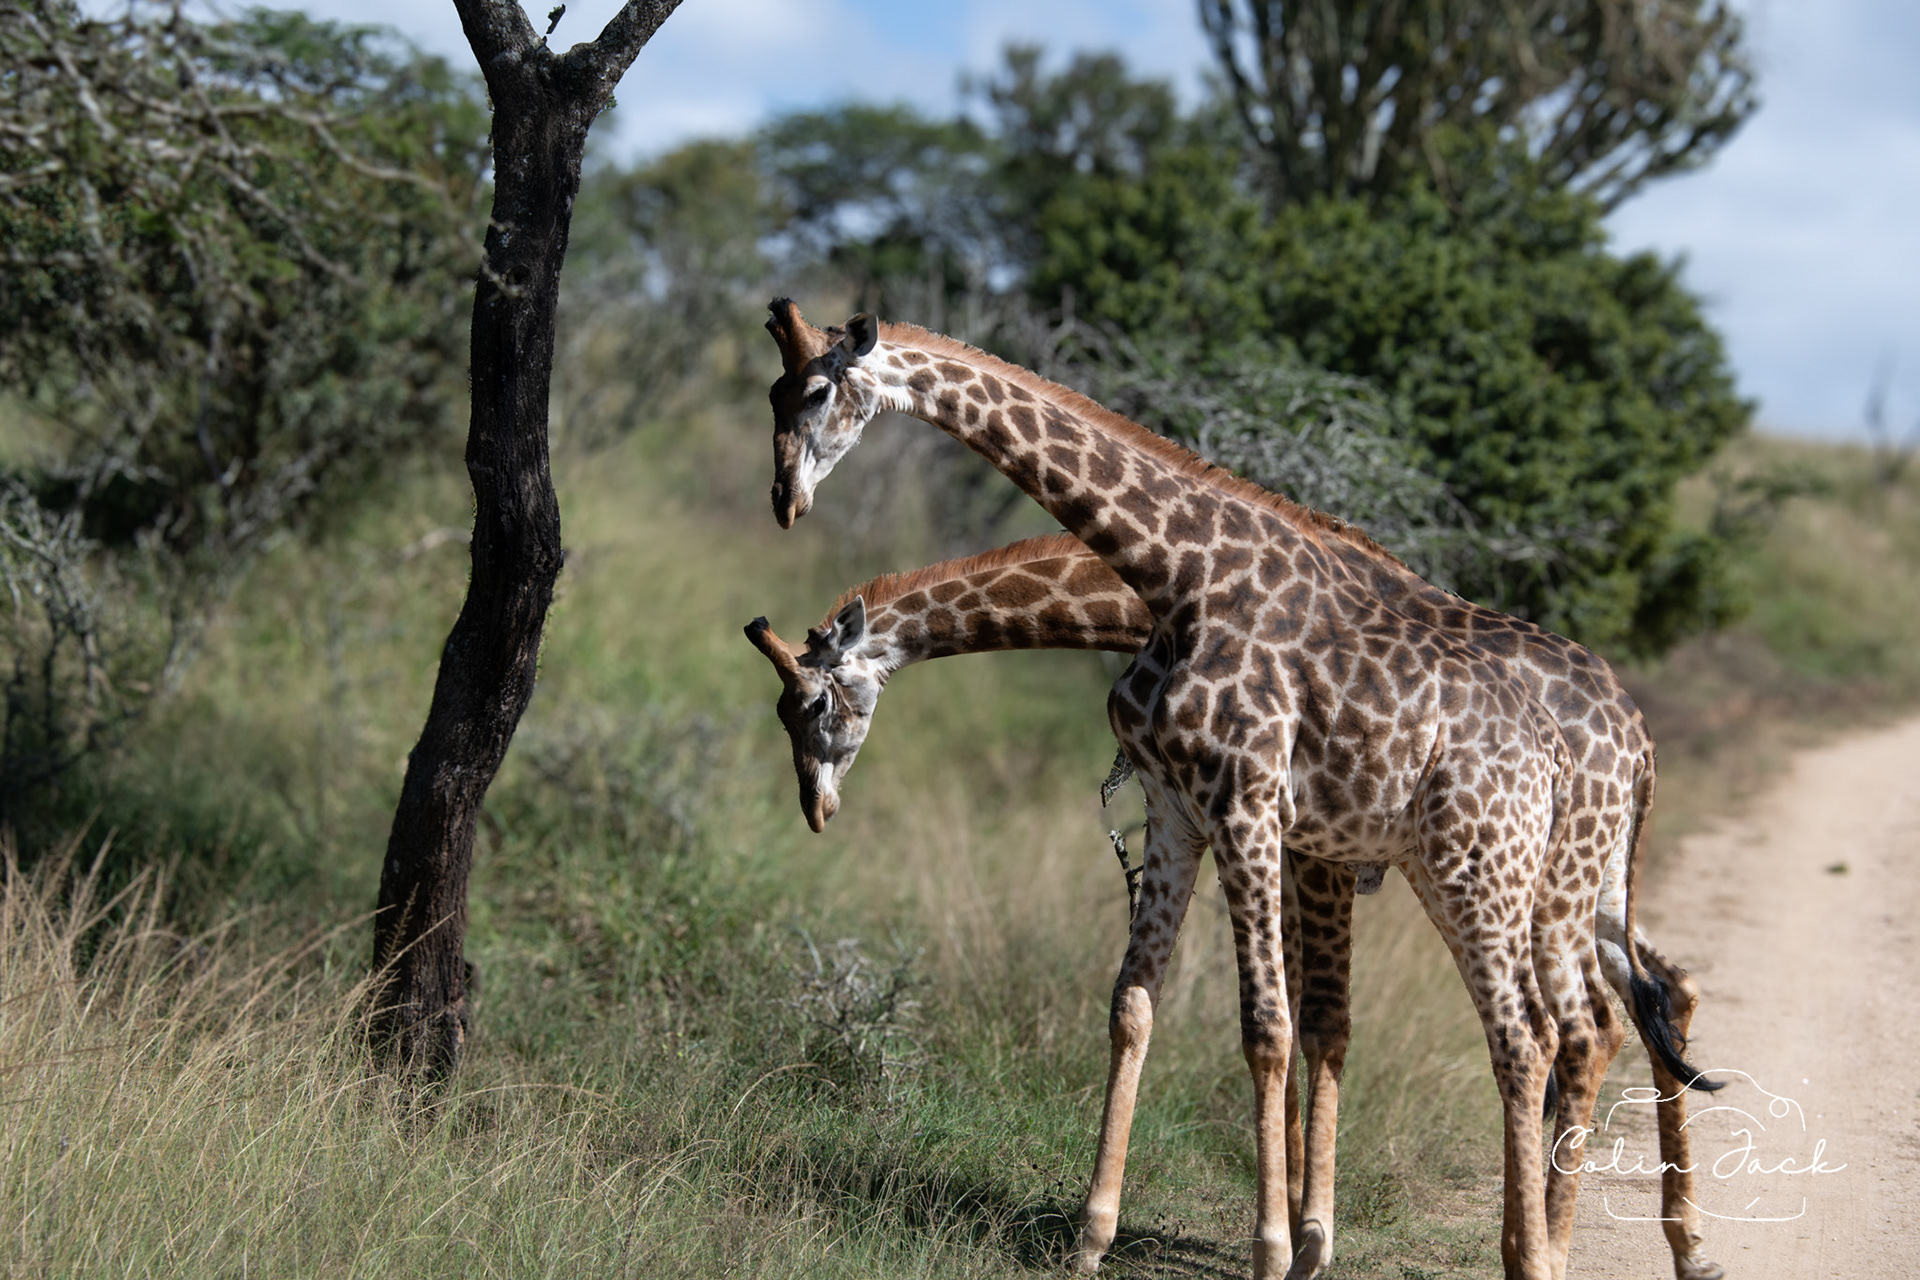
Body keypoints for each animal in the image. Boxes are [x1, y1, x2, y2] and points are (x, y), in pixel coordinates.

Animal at [759, 301, 1717, 1279]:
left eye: (815, 390)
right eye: (772, 393)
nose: (786, 499)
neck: (1171, 580)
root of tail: (1629, 741)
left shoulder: (1258, 812)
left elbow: (1284, 1027)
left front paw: (1286, 1243)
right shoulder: (1186, 812)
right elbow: (1143, 1003)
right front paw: (1099, 1234)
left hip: (1495, 875)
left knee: (1554, 1034)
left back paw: (1544, 1251)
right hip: (1557, 878)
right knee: (1649, 998)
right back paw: (1663, 1242)